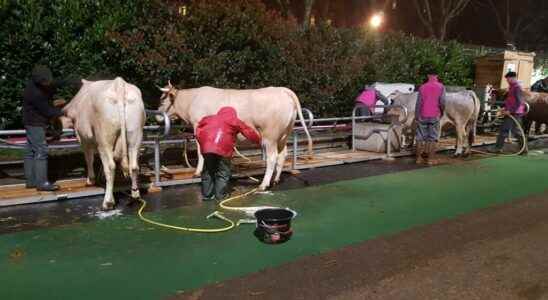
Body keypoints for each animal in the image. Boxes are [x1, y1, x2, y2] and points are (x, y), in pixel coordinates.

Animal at [62, 76, 146, 210]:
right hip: (135, 134)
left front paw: (90, 180)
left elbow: (89, 159)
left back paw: (108, 202)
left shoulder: (84, 139)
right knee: (133, 166)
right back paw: (134, 196)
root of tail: (119, 84)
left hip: (104, 138)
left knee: (110, 166)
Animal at [158, 81, 312, 190]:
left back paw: (263, 184)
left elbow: (200, 151)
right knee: (282, 155)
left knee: (272, 158)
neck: (192, 100)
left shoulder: (198, 127)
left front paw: (198, 172)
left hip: (270, 136)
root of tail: (282, 90)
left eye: (162, 100)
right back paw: (275, 180)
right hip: (283, 136)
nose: (157, 117)